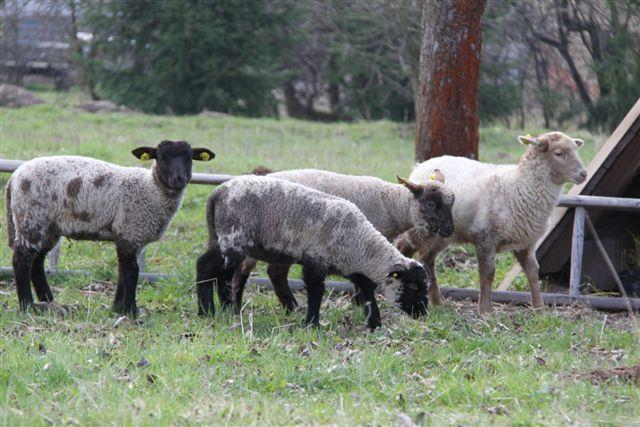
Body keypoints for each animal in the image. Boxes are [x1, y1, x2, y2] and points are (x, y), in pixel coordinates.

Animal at [5, 142, 215, 316]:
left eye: (189, 158)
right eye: (162, 158)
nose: (180, 179)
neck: (151, 189)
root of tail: (15, 177)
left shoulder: (127, 236)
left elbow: (123, 272)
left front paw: (117, 308)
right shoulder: (129, 231)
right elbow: (132, 272)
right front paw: (131, 311)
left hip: (49, 228)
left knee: (37, 263)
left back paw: (49, 302)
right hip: (31, 219)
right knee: (21, 261)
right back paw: (28, 306)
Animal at [195, 176, 430, 332]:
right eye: (412, 286)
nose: (423, 313)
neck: (361, 243)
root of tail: (218, 193)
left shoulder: (353, 268)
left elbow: (367, 294)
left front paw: (375, 324)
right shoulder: (315, 260)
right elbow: (317, 291)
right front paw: (312, 324)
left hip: (224, 239)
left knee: (224, 276)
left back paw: (227, 310)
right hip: (233, 239)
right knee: (204, 266)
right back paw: (207, 311)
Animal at [230, 170, 456, 314]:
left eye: (451, 203)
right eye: (431, 204)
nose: (449, 230)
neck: (390, 204)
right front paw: (359, 302)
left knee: (256, 271)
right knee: (270, 273)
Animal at [398, 132, 588, 316]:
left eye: (576, 150)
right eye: (559, 153)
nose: (584, 174)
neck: (520, 188)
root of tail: (419, 166)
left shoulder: (525, 243)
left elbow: (533, 272)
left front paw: (539, 309)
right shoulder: (486, 237)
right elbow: (488, 273)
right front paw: (486, 311)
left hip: (443, 233)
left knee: (427, 258)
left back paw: (438, 303)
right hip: (420, 228)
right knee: (403, 248)